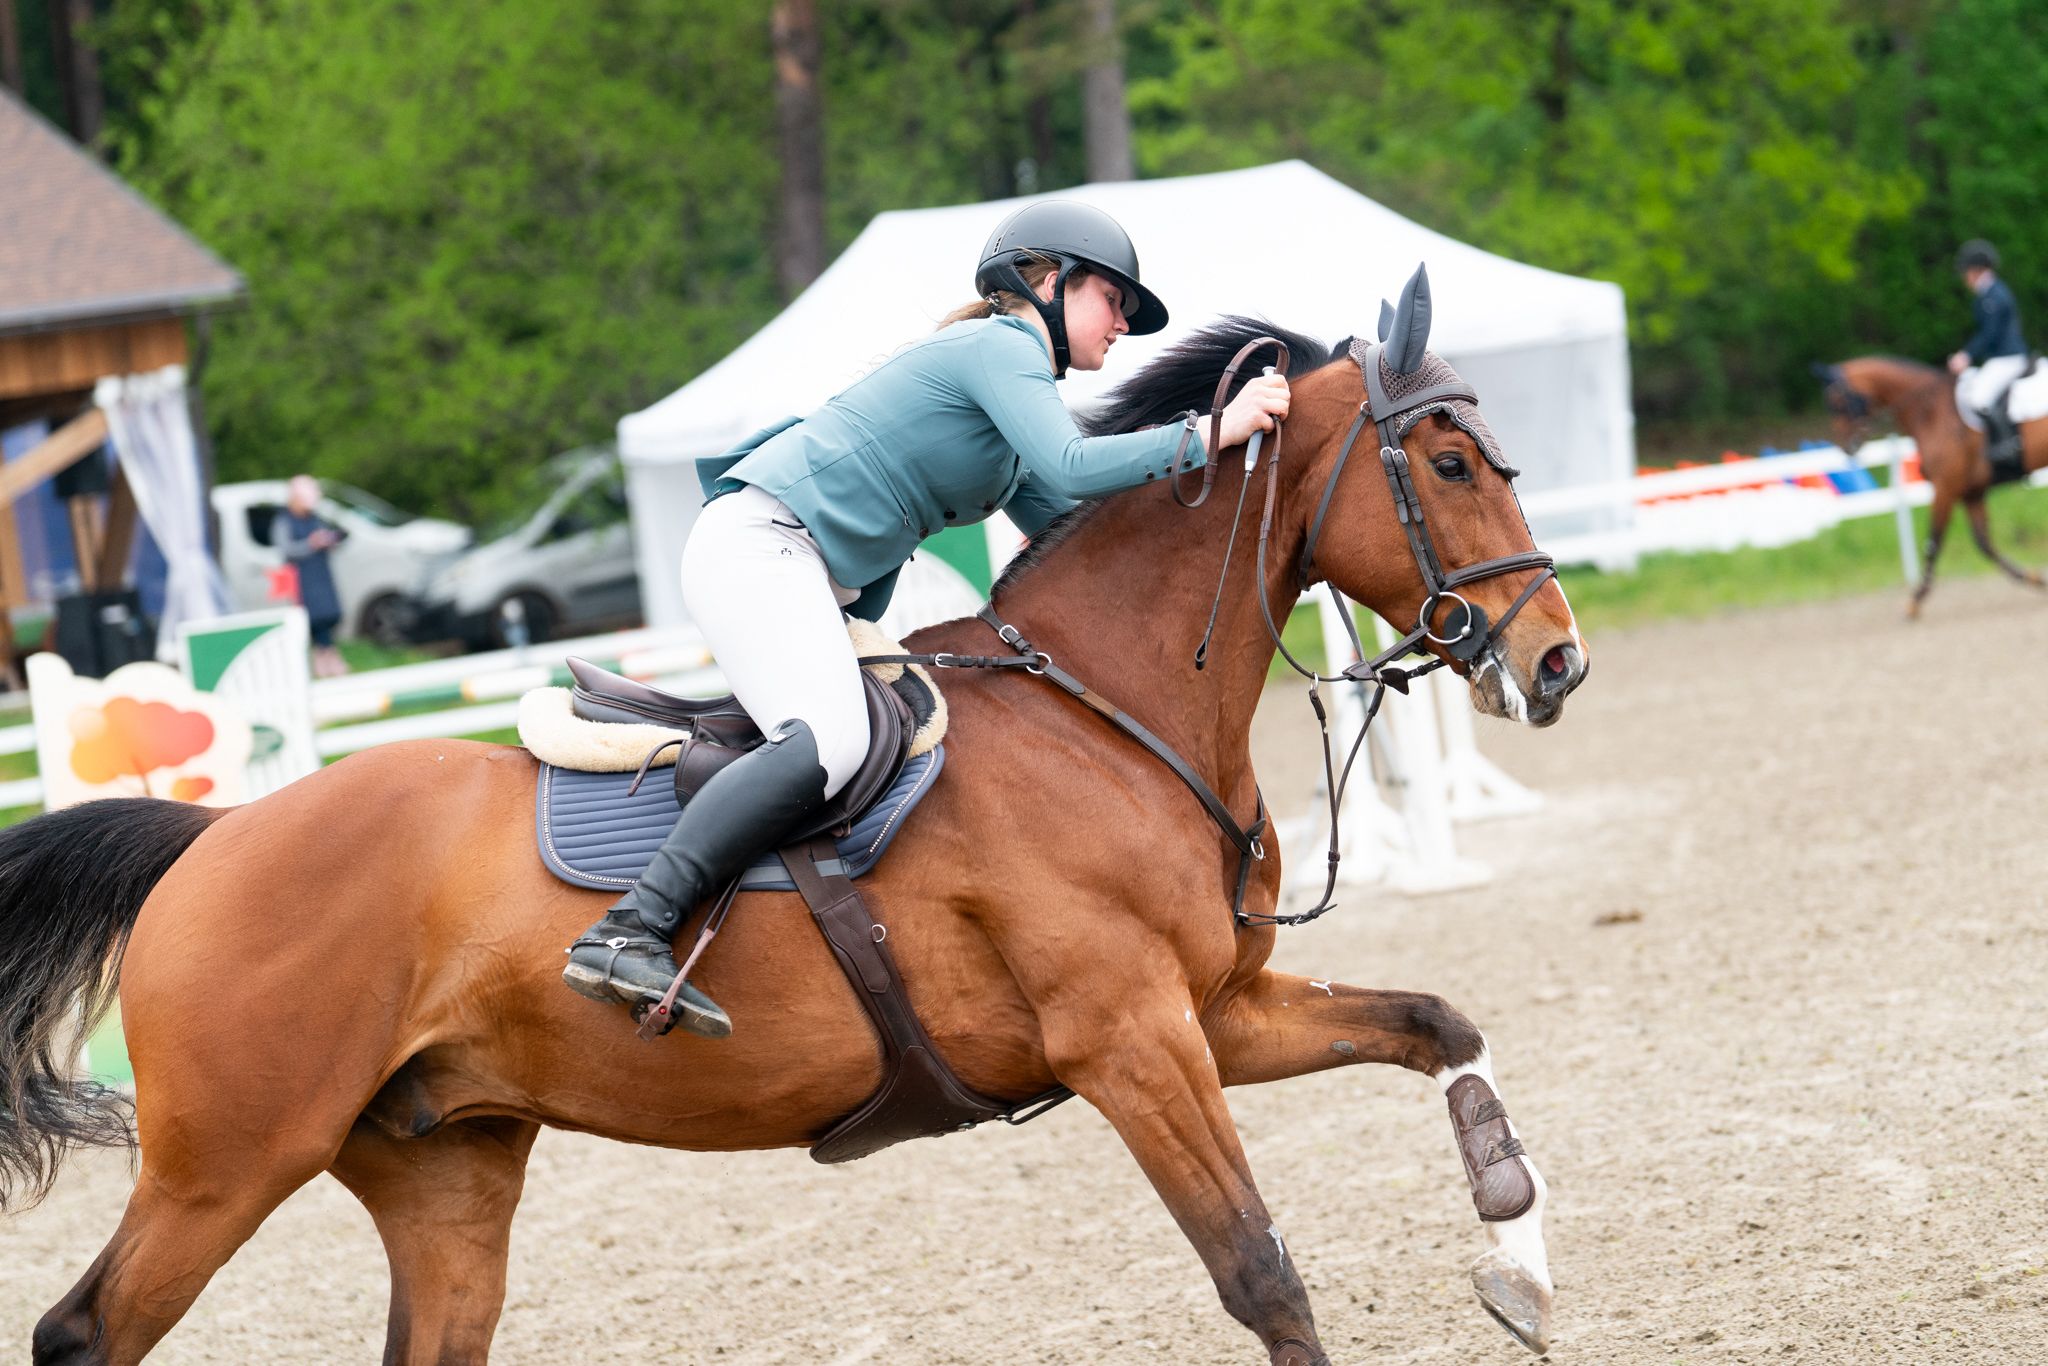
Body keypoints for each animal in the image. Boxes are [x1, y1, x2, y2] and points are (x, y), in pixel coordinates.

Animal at [1, 308, 1588, 1366]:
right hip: (223, 1165)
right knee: (83, 1331)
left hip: (440, 1168)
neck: (1106, 709)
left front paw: (1519, 1268)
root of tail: (209, 846)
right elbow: (1260, 1271)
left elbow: (1438, 1025)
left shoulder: (1218, 1011)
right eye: (1450, 462)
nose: (1558, 661)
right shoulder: (1129, 1038)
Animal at [1817, 356, 2048, 616]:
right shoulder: (1971, 493)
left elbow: (1933, 543)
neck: (1931, 411)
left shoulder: (1945, 489)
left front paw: (1916, 600)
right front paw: (2034, 578)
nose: (1846, 447)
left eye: (1838, 403)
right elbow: (1984, 543)